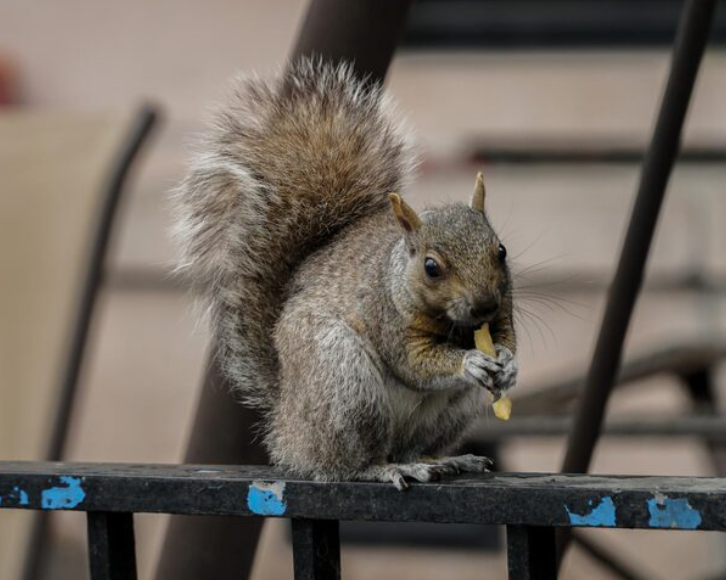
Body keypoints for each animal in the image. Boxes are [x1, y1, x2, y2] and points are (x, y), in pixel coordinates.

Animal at [173, 58, 518, 490]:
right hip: (344, 380)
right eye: (431, 267)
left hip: (450, 409)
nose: (484, 305)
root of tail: (286, 425)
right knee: (348, 462)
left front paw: (508, 362)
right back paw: (387, 467)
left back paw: (446, 459)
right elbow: (414, 363)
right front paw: (469, 362)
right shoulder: (386, 317)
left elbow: (506, 338)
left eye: (501, 250)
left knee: (411, 444)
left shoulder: (504, 311)